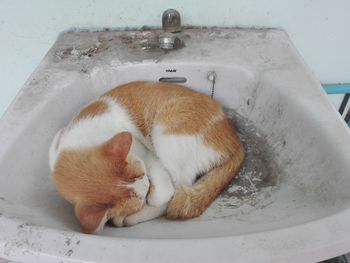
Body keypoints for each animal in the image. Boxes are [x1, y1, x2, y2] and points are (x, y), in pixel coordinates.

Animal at [49, 81, 245, 234]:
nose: (147, 185)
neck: (84, 137)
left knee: (178, 190)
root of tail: (236, 141)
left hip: (165, 130)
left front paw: (146, 203)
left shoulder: (148, 156)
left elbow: (165, 194)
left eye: (141, 174)